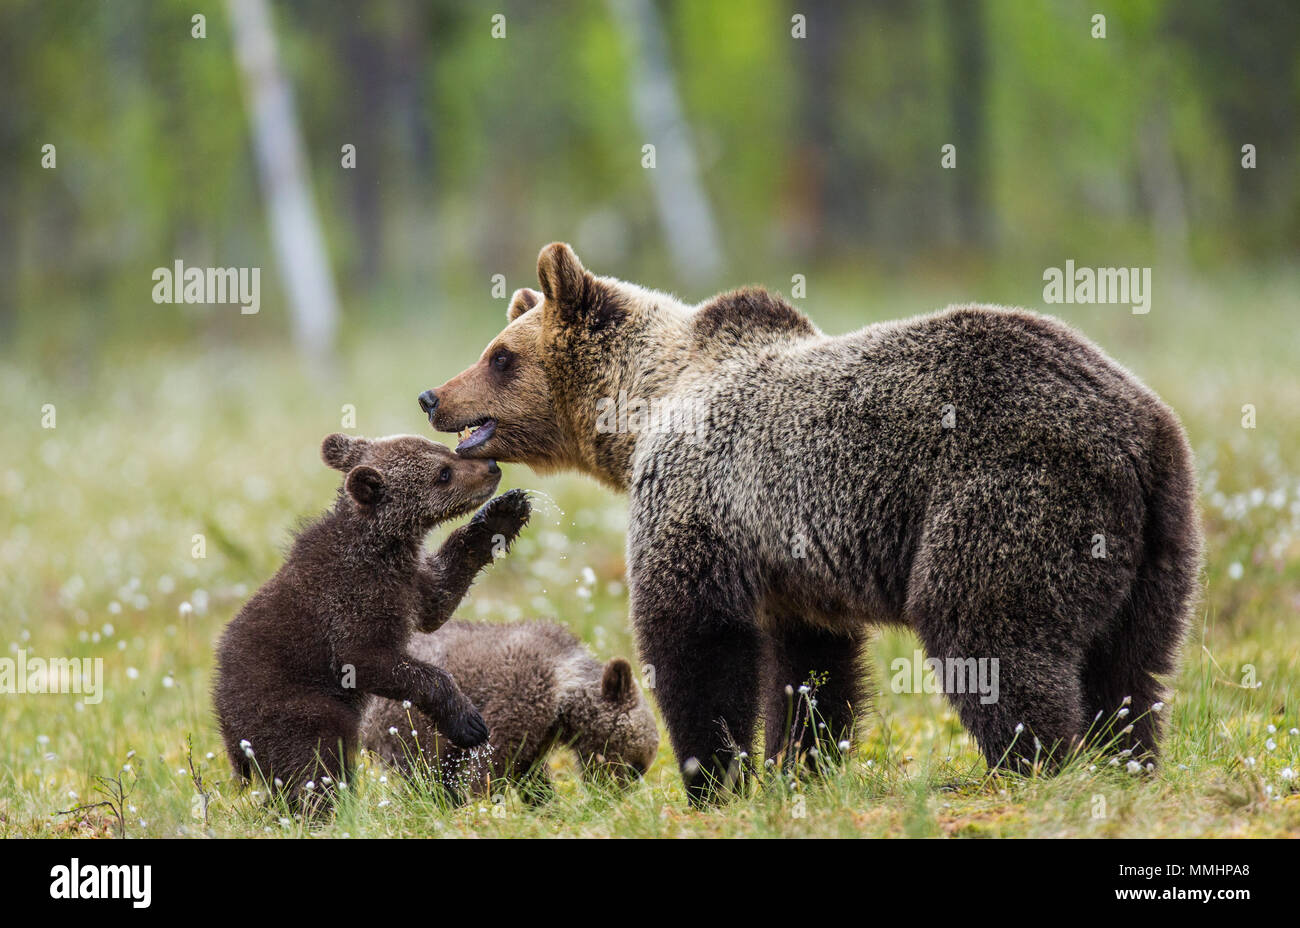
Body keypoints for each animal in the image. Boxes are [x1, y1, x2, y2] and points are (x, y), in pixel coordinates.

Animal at [212, 432, 531, 809]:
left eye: (445, 450)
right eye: (443, 473)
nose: (492, 466)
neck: (382, 547)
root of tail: (230, 738)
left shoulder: (409, 583)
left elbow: (439, 597)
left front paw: (503, 515)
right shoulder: (352, 602)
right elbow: (371, 660)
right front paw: (468, 722)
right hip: (293, 707)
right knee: (315, 762)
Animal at [360, 620, 659, 804]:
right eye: (636, 768)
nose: (611, 799)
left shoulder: (537, 736)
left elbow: (529, 775)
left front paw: (547, 807)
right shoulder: (520, 695)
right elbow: (489, 765)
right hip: (405, 724)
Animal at [419, 243, 1202, 805]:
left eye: (500, 356)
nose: (433, 396)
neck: (643, 407)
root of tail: (1140, 429)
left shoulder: (700, 494)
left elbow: (695, 636)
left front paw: (713, 778)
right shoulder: (792, 561)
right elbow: (810, 666)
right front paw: (799, 764)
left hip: (1006, 493)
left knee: (987, 631)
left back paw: (1033, 764)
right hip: (1159, 539)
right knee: (1133, 662)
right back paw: (1124, 759)